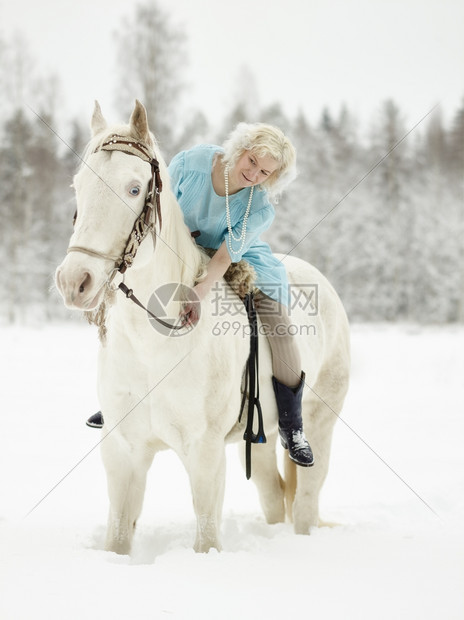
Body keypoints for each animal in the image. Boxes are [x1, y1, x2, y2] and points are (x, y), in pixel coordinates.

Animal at [55, 103, 348, 556]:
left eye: (134, 189)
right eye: (78, 185)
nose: (75, 282)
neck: (152, 345)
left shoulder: (205, 452)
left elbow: (207, 536)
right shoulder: (123, 452)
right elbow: (118, 536)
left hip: (319, 424)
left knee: (305, 501)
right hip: (259, 442)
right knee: (273, 496)